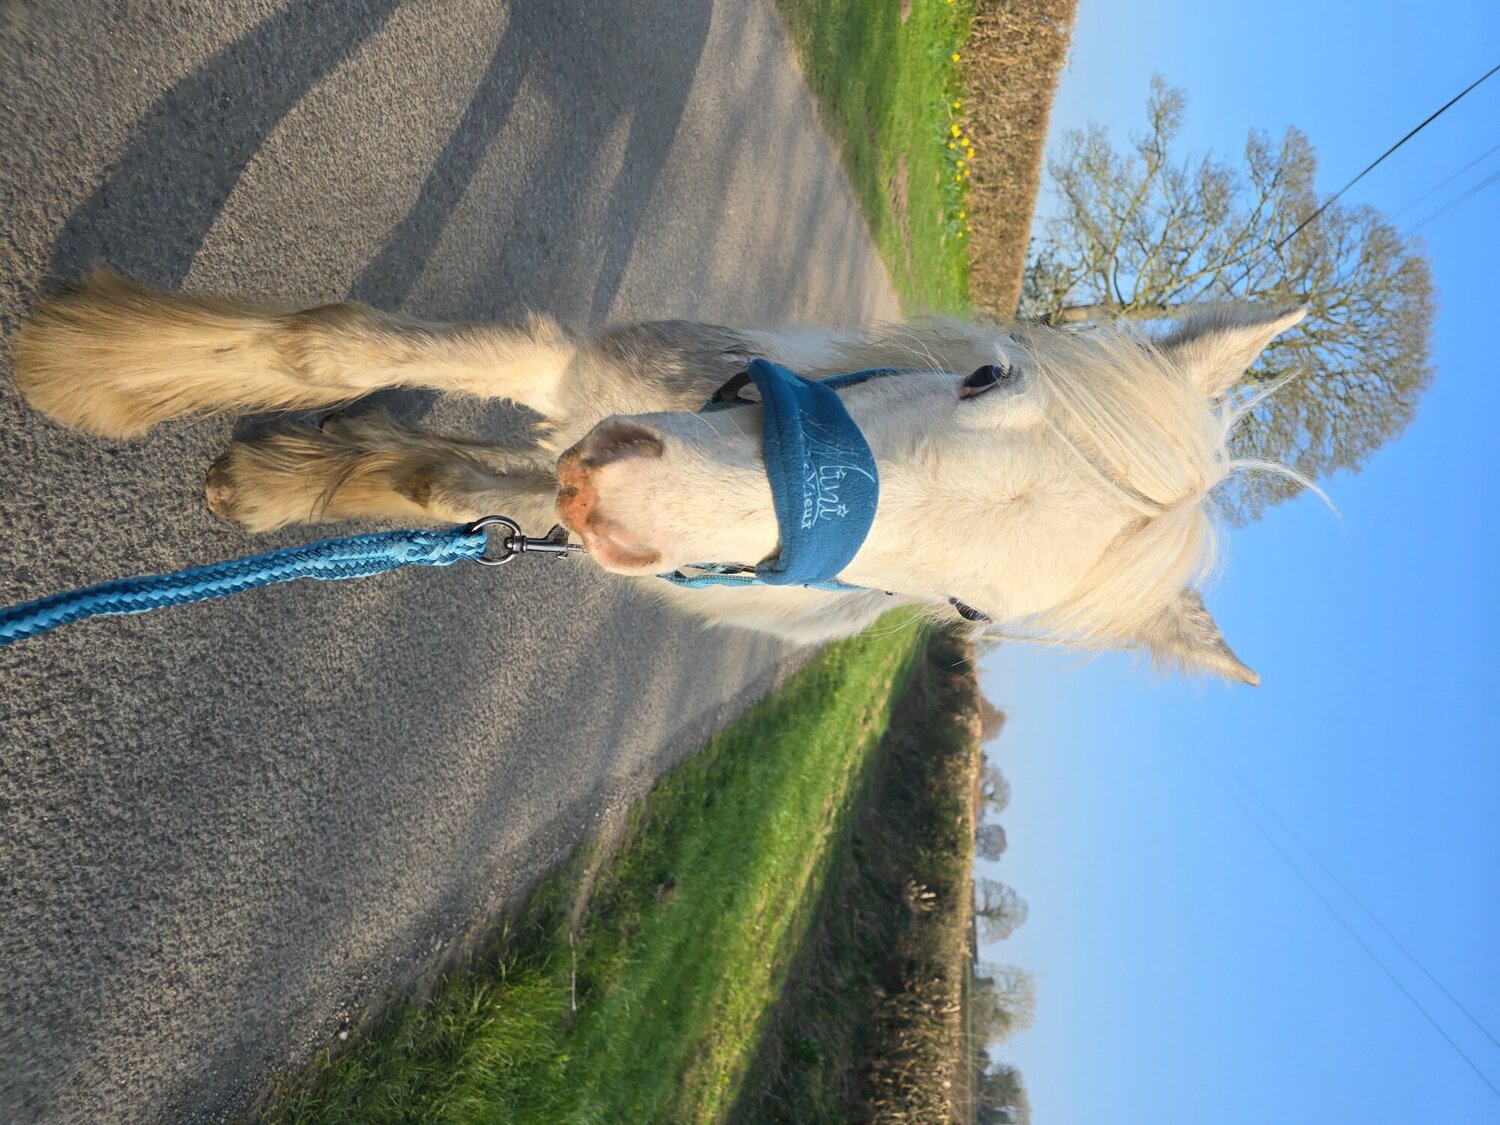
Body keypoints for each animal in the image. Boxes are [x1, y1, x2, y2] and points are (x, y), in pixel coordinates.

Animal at [12, 269, 1306, 683]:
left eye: (968, 610)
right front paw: (98, 367)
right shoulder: (575, 378)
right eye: (985, 376)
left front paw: (279, 482)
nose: (620, 499)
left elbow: (445, 485)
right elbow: (331, 349)